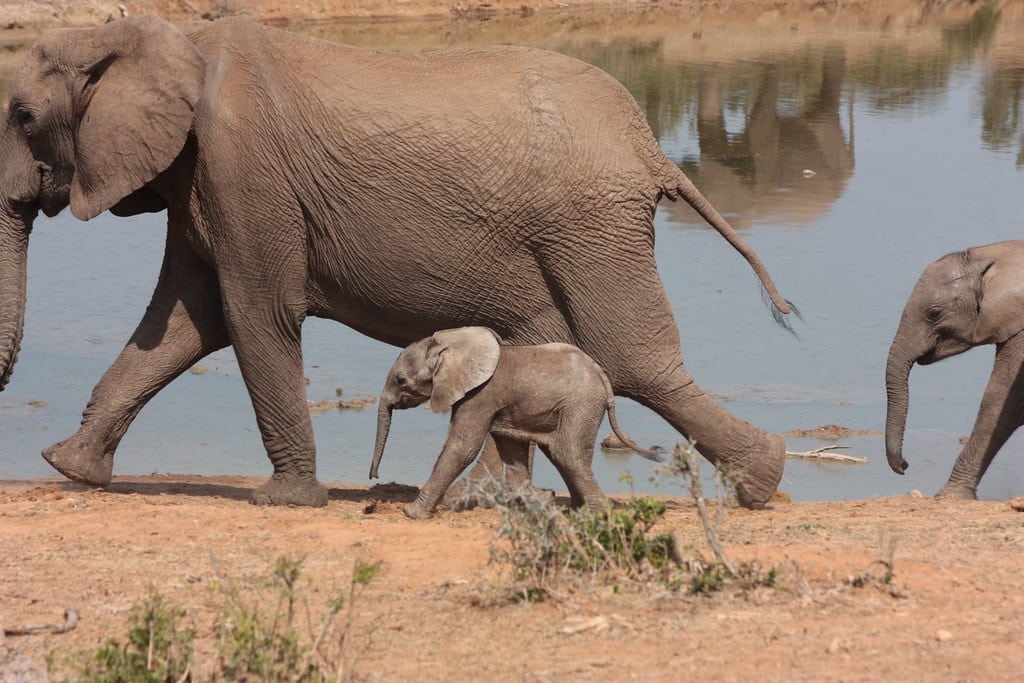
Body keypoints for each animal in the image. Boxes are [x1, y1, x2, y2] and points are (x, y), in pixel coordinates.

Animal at [369, 327, 665, 519]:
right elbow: (511, 451)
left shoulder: (480, 395)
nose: (374, 476)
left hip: (581, 404)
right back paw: (575, 510)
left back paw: (598, 514)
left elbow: (462, 447)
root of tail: (601, 374)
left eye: (401, 380)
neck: (449, 344)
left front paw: (411, 514)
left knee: (566, 452)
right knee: (563, 453)